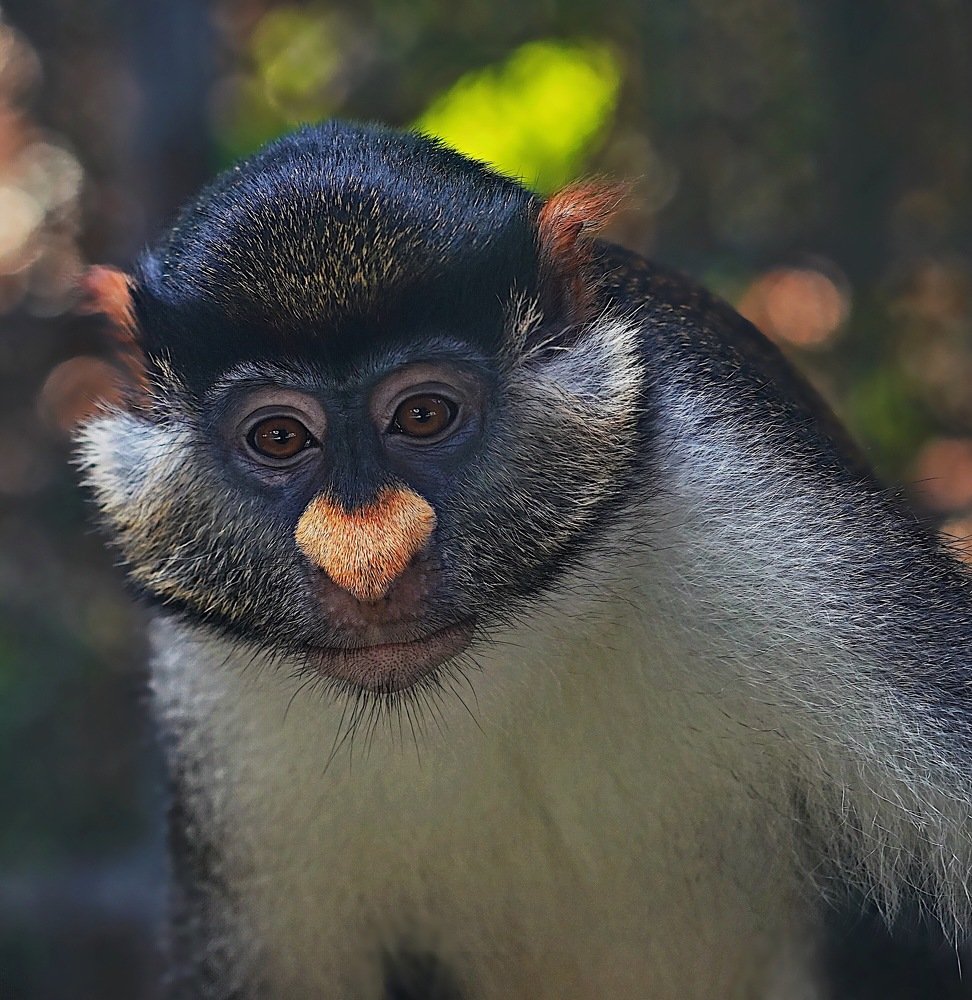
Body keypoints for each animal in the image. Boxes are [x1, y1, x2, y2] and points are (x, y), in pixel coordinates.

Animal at [75, 120, 972, 999]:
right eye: (280, 437)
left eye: (424, 415)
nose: (368, 568)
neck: (513, 650)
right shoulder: (220, 720)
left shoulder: (789, 550)